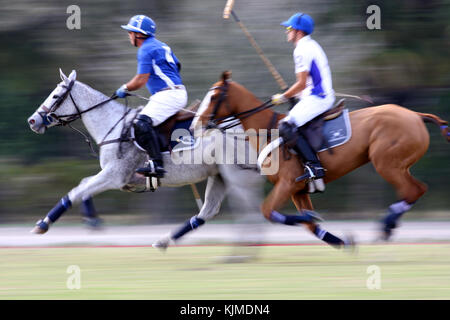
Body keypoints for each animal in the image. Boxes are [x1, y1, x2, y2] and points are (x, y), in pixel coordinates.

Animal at [27, 70, 264, 250]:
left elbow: (75, 192)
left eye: (56, 96)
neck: (114, 125)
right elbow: (83, 186)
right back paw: (164, 241)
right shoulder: (116, 177)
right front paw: (93, 220)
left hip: (238, 174)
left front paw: (42, 224)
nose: (32, 120)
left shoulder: (115, 176)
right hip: (219, 174)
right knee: (209, 211)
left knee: (250, 209)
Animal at [195, 70, 448, 245]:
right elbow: (307, 224)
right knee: (416, 189)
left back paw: (386, 226)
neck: (268, 131)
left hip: (386, 164)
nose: (197, 123)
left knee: (413, 190)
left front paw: (314, 216)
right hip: (397, 165)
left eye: (214, 96)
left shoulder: (287, 183)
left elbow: (269, 212)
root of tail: (415, 115)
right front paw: (344, 242)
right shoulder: (298, 190)